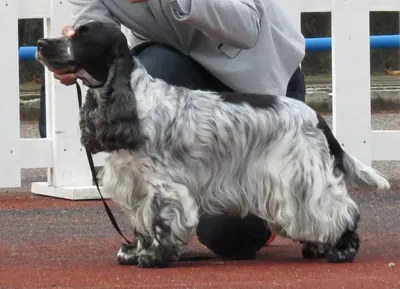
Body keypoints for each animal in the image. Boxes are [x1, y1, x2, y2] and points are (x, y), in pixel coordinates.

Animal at [36, 20, 390, 268]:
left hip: (303, 177)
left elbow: (160, 221)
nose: (40, 43)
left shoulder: (163, 186)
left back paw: (341, 250)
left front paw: (154, 257)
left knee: (340, 212)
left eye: (81, 36)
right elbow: (141, 223)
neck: (135, 101)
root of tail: (317, 117)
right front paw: (134, 252)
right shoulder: (135, 185)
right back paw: (318, 246)